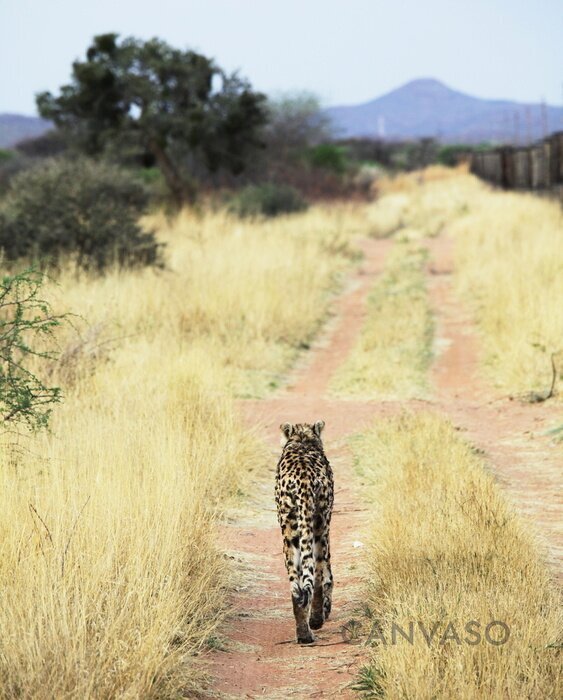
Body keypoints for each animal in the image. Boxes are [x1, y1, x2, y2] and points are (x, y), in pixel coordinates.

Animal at [276, 422, 334, 644]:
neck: (302, 439)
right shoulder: (325, 525)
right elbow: (327, 574)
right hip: (317, 528)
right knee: (316, 575)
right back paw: (315, 622)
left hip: (290, 531)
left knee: (296, 586)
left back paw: (303, 634)